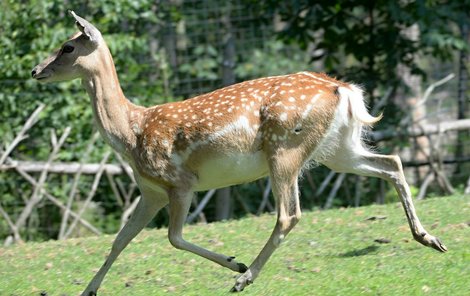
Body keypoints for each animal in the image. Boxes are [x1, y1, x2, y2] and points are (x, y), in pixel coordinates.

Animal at [31, 11, 446, 294]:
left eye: (68, 46)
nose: (36, 70)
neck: (132, 132)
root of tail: (343, 89)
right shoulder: (150, 190)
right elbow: (120, 239)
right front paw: (88, 290)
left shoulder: (180, 181)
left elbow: (174, 237)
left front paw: (233, 262)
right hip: (337, 147)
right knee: (391, 162)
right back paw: (429, 238)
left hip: (284, 147)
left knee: (289, 214)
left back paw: (245, 277)